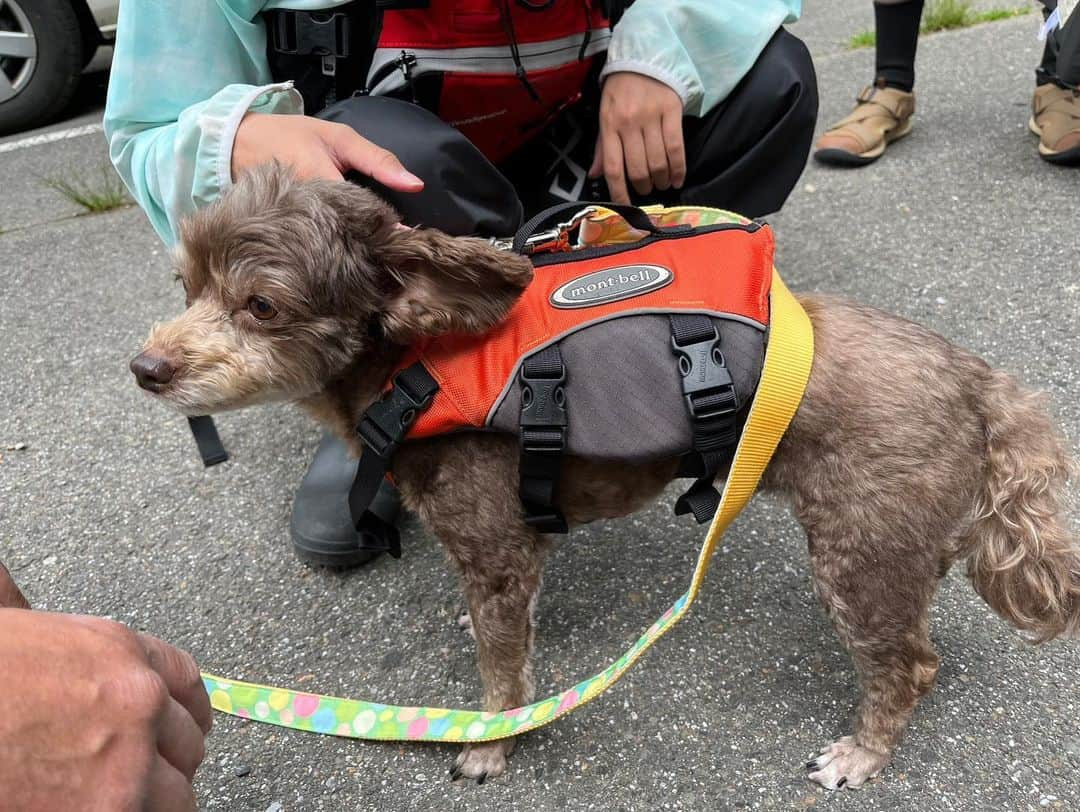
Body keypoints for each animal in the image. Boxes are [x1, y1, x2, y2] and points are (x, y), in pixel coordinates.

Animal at [130, 163, 1075, 786]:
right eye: (185, 285)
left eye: (260, 306)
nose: (147, 368)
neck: (415, 362)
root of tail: (983, 384)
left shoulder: (494, 551)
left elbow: (503, 674)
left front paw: (491, 744)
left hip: (861, 557)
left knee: (910, 664)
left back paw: (863, 753)